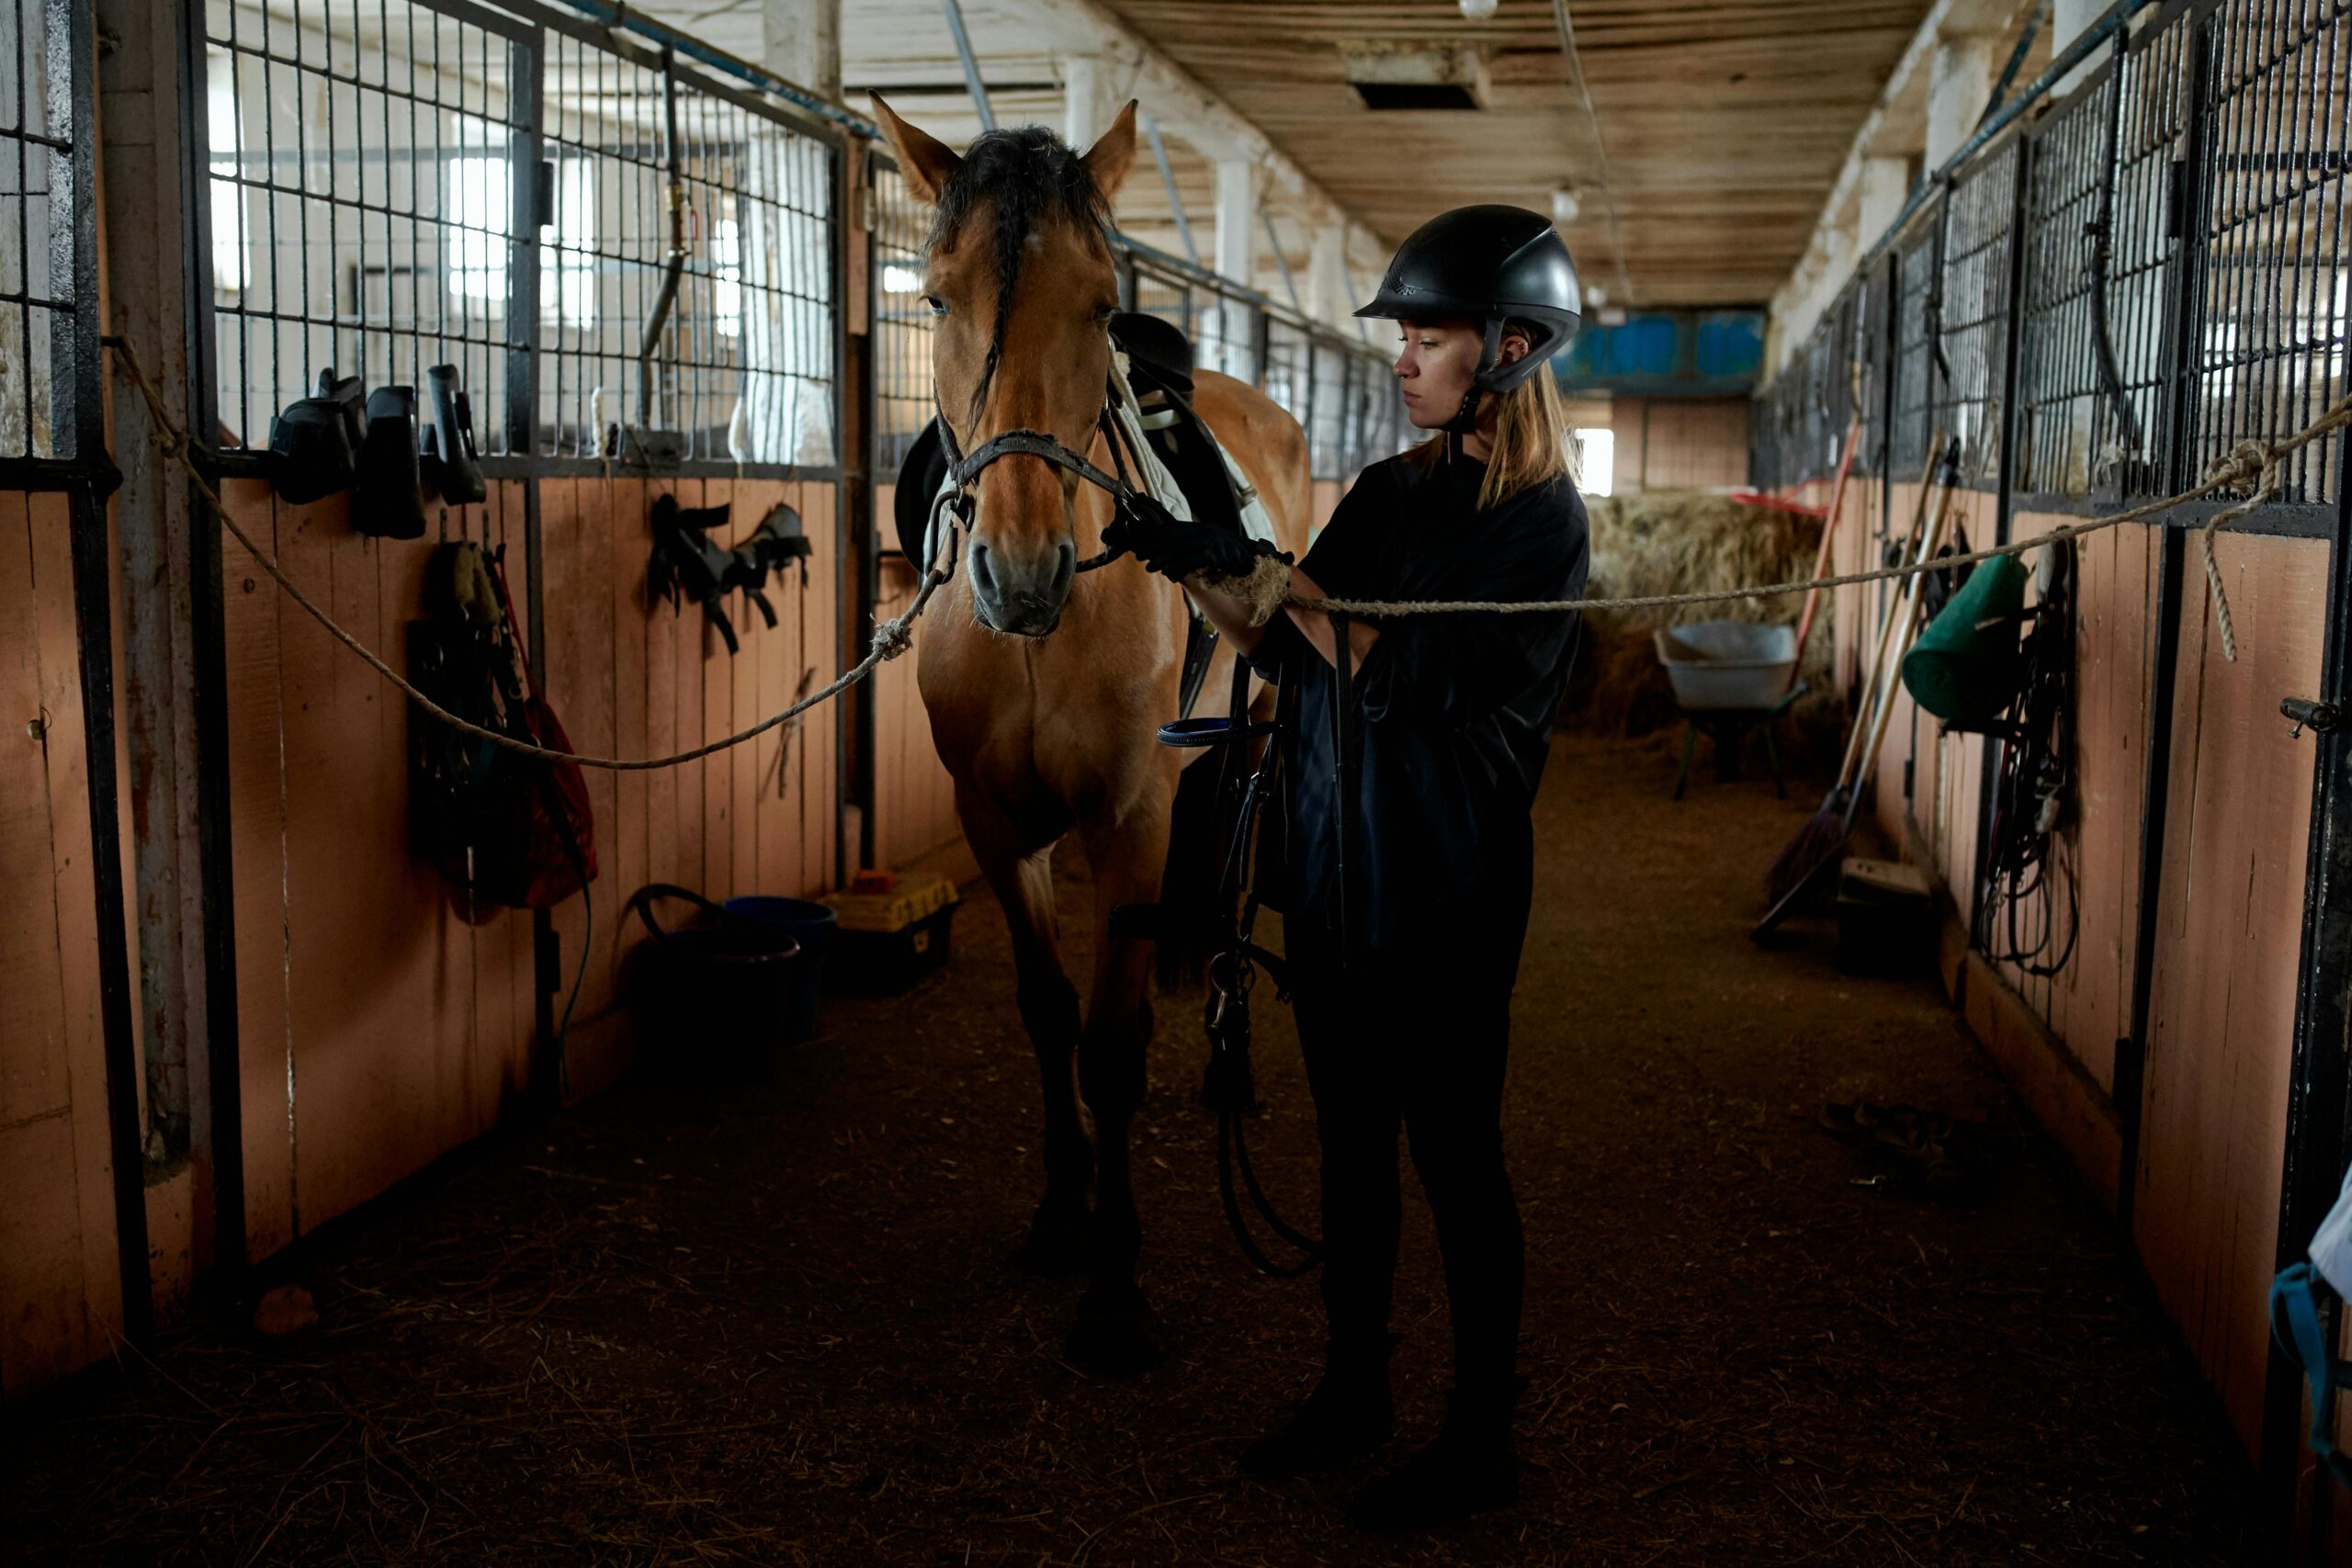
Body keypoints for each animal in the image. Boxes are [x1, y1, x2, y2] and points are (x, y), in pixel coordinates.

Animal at [875, 97, 1326, 1372]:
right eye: (936, 298)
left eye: (1096, 301)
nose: (1020, 572)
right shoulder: (992, 823)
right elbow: (1049, 1017)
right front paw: (1058, 1216)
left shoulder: (1129, 822)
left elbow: (1114, 1046)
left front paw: (1117, 1292)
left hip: (1250, 746)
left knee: (1231, 899)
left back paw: (1229, 1069)